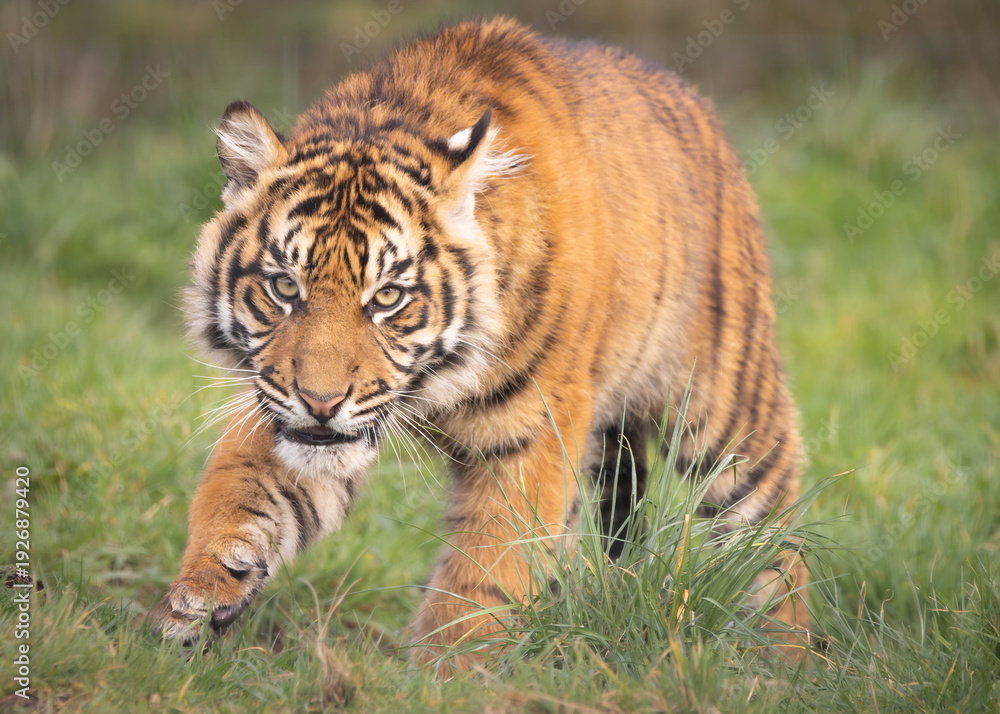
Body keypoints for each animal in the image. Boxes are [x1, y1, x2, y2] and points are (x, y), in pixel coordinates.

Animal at [151, 17, 810, 670]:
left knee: (773, 533)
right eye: (285, 287)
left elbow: (486, 569)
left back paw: (788, 658)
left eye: (387, 297)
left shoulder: (532, 435)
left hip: (723, 406)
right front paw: (200, 595)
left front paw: (446, 673)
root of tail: (697, 105)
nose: (321, 401)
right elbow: (239, 489)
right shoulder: (283, 408)